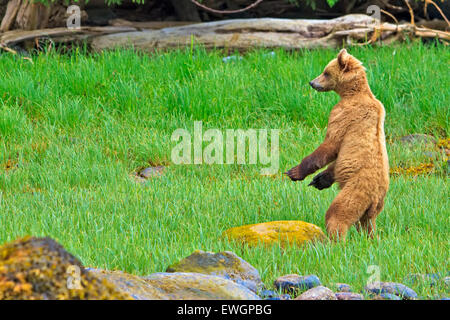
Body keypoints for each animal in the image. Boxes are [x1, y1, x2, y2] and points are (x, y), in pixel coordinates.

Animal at [286, 48, 388, 241]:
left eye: (326, 72)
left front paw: (294, 172)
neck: (353, 93)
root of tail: (375, 196)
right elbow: (336, 159)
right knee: (368, 224)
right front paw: (319, 180)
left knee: (337, 213)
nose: (312, 82)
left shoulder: (343, 114)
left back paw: (335, 239)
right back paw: (370, 239)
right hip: (375, 207)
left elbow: (330, 145)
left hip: (354, 191)